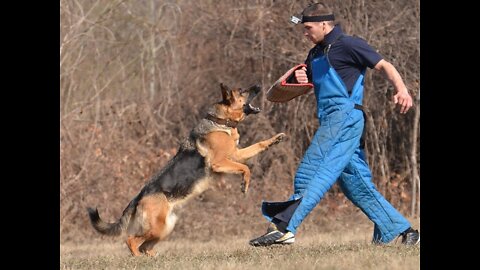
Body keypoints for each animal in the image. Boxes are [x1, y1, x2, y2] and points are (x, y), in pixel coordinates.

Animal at [87, 83, 284, 256]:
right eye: (242, 91)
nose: (258, 85)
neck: (221, 122)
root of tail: (138, 197)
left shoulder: (236, 155)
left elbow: (258, 146)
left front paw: (275, 139)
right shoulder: (221, 162)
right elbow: (245, 168)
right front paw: (245, 185)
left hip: (165, 228)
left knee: (145, 247)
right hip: (157, 228)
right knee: (131, 241)